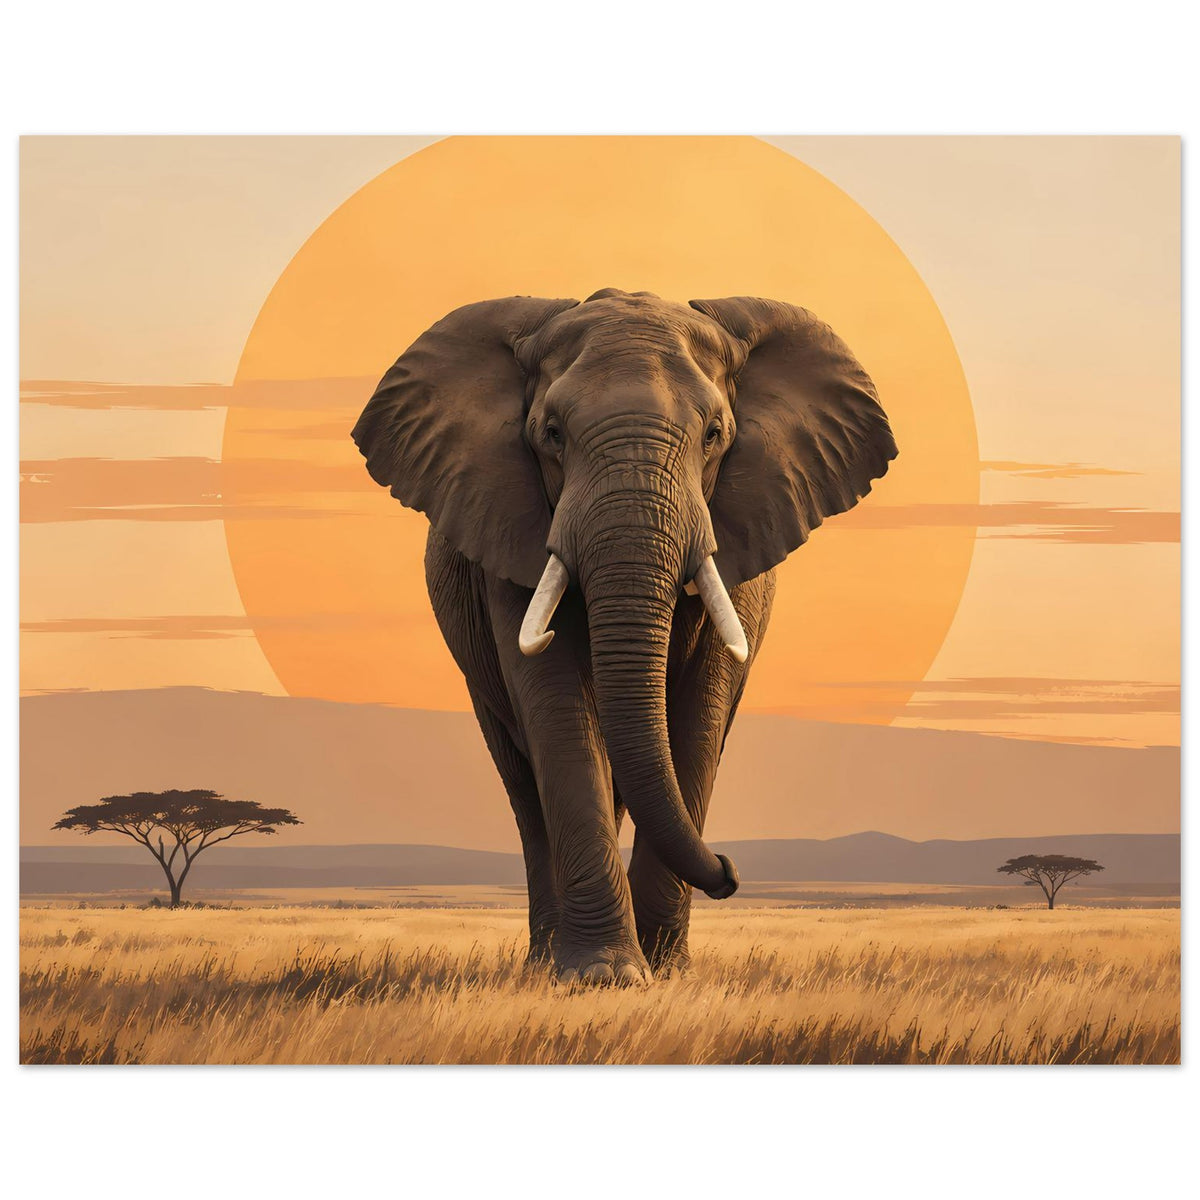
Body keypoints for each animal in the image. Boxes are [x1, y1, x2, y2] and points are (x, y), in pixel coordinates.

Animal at [352, 288, 896, 984]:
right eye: (551, 434)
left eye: (714, 435)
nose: (730, 872)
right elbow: (556, 705)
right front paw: (603, 978)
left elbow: (700, 713)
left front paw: (667, 974)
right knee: (525, 784)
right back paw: (544, 964)